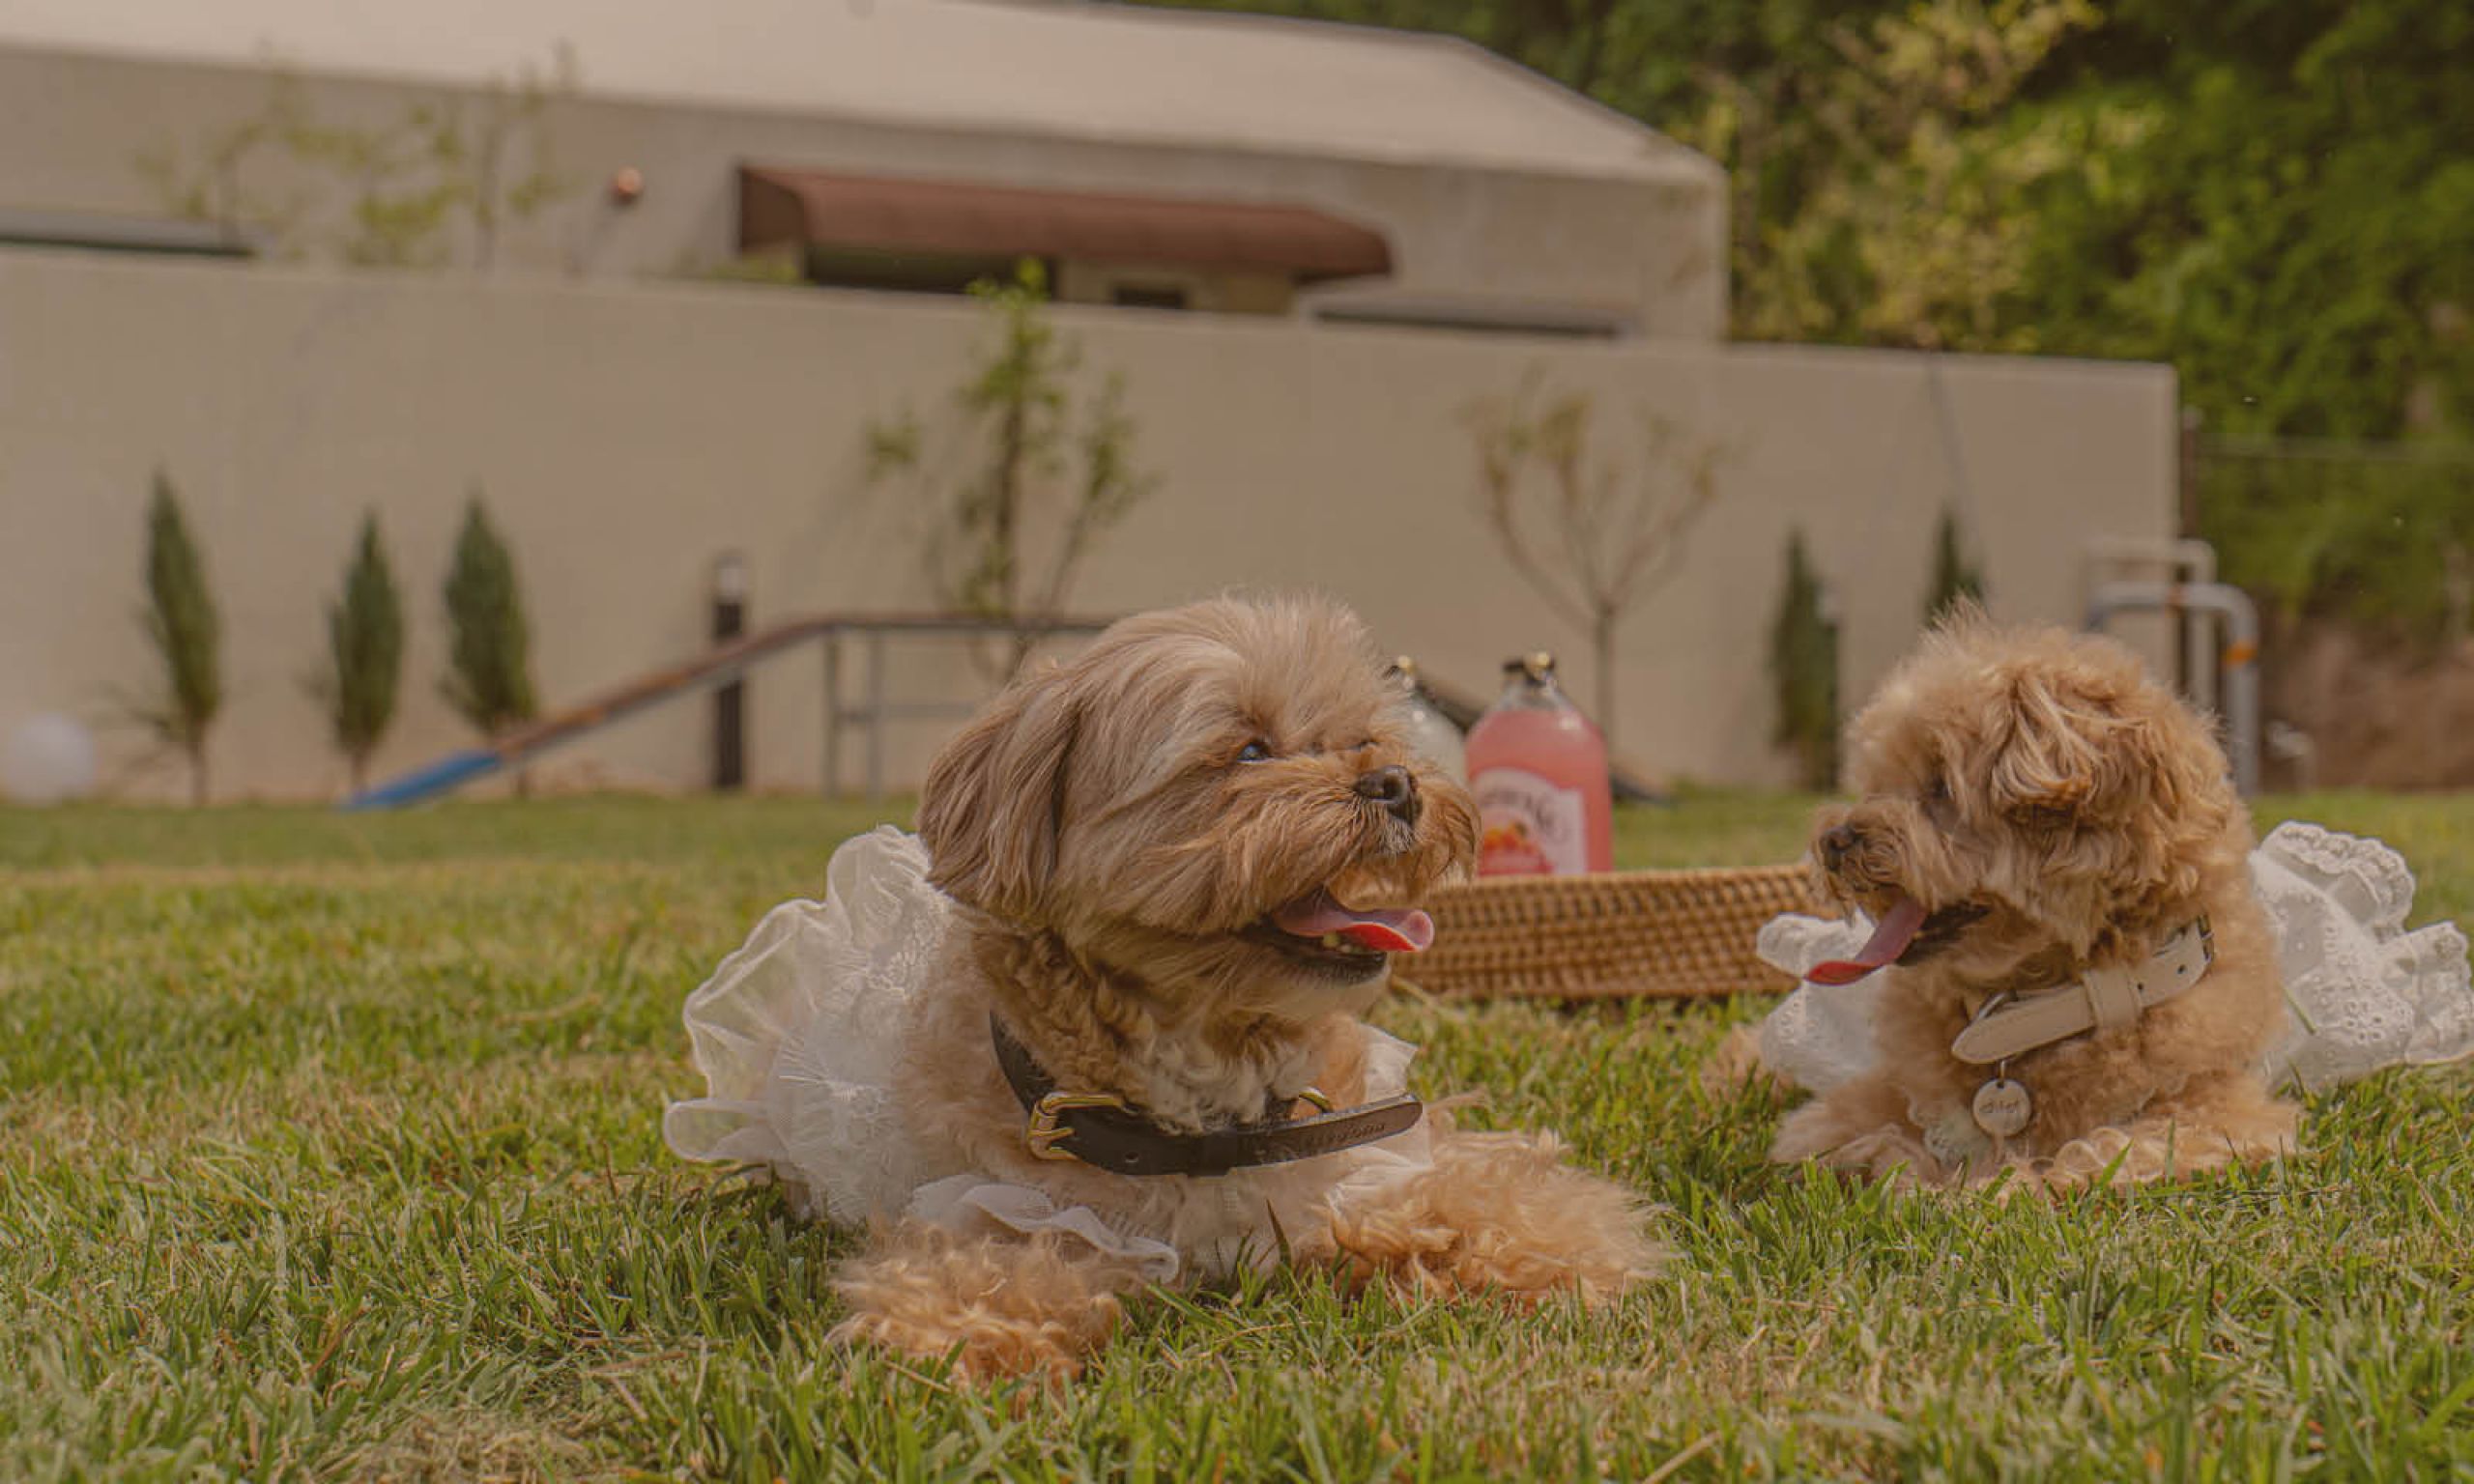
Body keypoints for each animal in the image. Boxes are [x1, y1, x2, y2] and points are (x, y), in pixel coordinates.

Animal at [820, 596, 1657, 1378]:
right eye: (1251, 750)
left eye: (1361, 739)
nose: (1396, 782)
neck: (1213, 1110)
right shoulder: (999, 1209)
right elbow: (991, 1271)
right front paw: (956, 1342)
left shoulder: (1377, 1159)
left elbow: (1487, 1197)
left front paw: (1555, 1260)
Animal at [1767, 614, 2300, 1189]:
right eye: (1877, 783)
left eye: (1941, 787)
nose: (1833, 841)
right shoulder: (1858, 1106)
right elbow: (1833, 1136)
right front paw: (1905, 1167)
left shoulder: (2226, 1119)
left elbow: (2104, 1149)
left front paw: (1996, 1185)